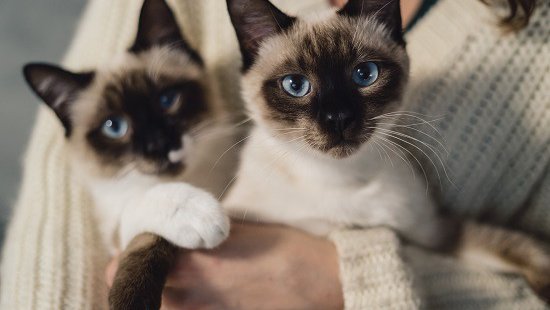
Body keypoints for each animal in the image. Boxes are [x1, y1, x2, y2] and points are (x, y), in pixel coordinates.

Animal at [22, 1, 237, 308]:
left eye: (167, 100)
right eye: (114, 127)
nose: (159, 145)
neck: (197, 180)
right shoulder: (115, 235)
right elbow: (145, 220)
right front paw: (201, 214)